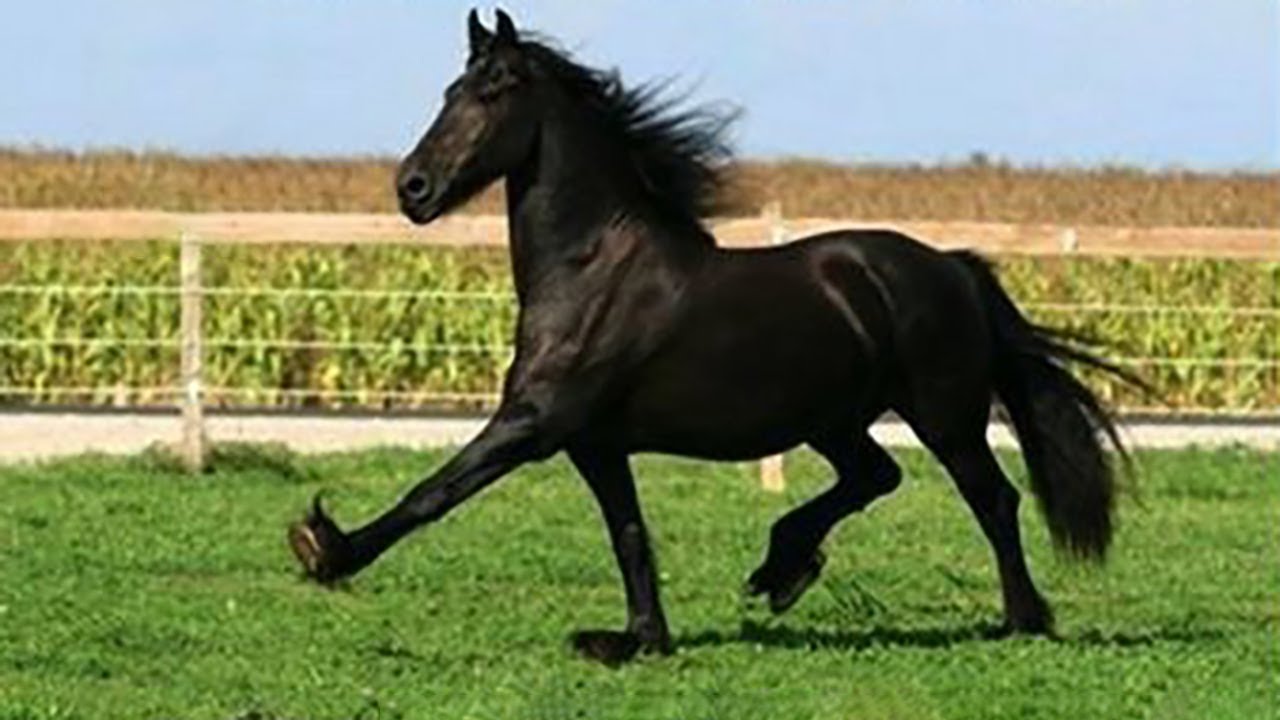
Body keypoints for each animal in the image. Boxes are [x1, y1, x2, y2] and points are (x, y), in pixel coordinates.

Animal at [288, 8, 1135, 666]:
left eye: (494, 90)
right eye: (450, 92)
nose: (413, 189)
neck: (590, 269)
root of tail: (953, 267)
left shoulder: (534, 424)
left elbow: (435, 490)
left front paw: (325, 547)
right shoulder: (593, 442)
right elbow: (629, 534)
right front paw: (636, 638)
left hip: (943, 414)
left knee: (992, 497)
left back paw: (1022, 618)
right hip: (832, 419)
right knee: (875, 476)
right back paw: (782, 568)